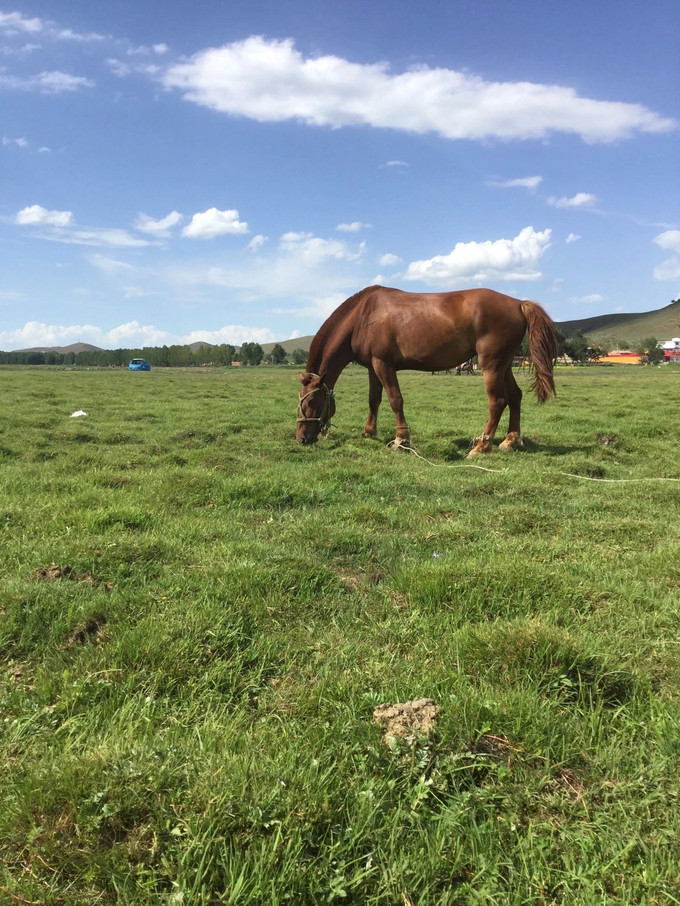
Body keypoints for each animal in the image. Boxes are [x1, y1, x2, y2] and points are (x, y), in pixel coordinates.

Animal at [296, 284, 556, 456]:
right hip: (505, 364)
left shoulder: (383, 364)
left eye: (311, 402)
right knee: (515, 396)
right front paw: (369, 432)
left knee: (498, 401)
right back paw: (511, 440)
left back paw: (482, 446)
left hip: (491, 364)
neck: (362, 316)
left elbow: (395, 400)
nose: (301, 438)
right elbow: (374, 399)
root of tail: (518, 303)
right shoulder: (373, 366)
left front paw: (402, 439)